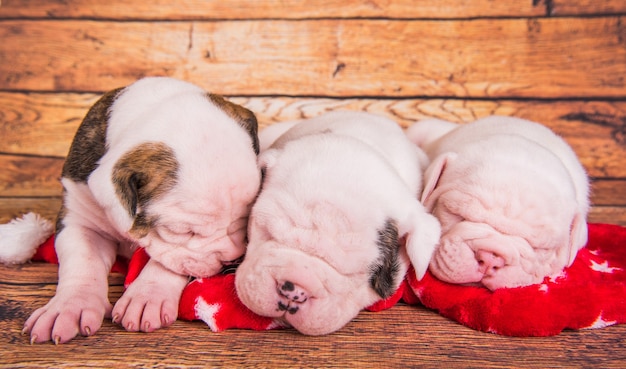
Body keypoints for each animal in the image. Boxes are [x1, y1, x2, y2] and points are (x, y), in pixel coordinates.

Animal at [22, 76, 260, 344]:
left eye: (246, 217)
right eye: (182, 231)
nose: (232, 257)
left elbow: (169, 262)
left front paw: (148, 296)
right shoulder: (79, 216)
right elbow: (83, 260)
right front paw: (69, 307)